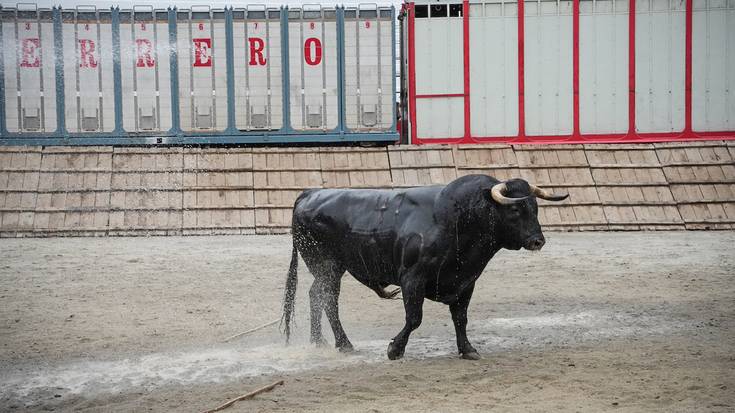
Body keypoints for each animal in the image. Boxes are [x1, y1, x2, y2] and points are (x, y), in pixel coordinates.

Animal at [282, 175, 568, 360]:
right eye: (516, 209)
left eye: (535, 207)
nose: (538, 240)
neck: (458, 219)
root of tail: (309, 193)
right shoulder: (412, 279)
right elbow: (414, 318)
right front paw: (395, 349)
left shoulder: (466, 282)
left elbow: (461, 318)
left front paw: (467, 349)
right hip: (327, 266)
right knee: (327, 299)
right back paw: (343, 343)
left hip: (330, 269)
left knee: (317, 296)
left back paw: (319, 341)